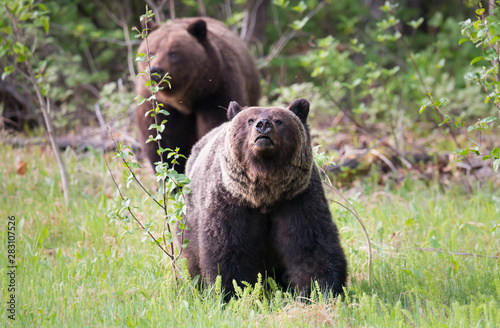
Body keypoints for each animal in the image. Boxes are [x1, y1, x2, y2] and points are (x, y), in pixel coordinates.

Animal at [137, 17, 262, 173]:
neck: (184, 98)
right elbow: (162, 140)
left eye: (173, 53)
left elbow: (214, 124)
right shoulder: (157, 104)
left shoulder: (215, 92)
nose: (155, 70)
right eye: (151, 51)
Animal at [180, 97, 348, 298]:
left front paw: (322, 289)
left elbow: (313, 246)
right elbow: (227, 249)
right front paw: (231, 292)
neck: (265, 194)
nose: (263, 125)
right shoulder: (231, 202)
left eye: (279, 120)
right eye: (250, 120)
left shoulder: (297, 199)